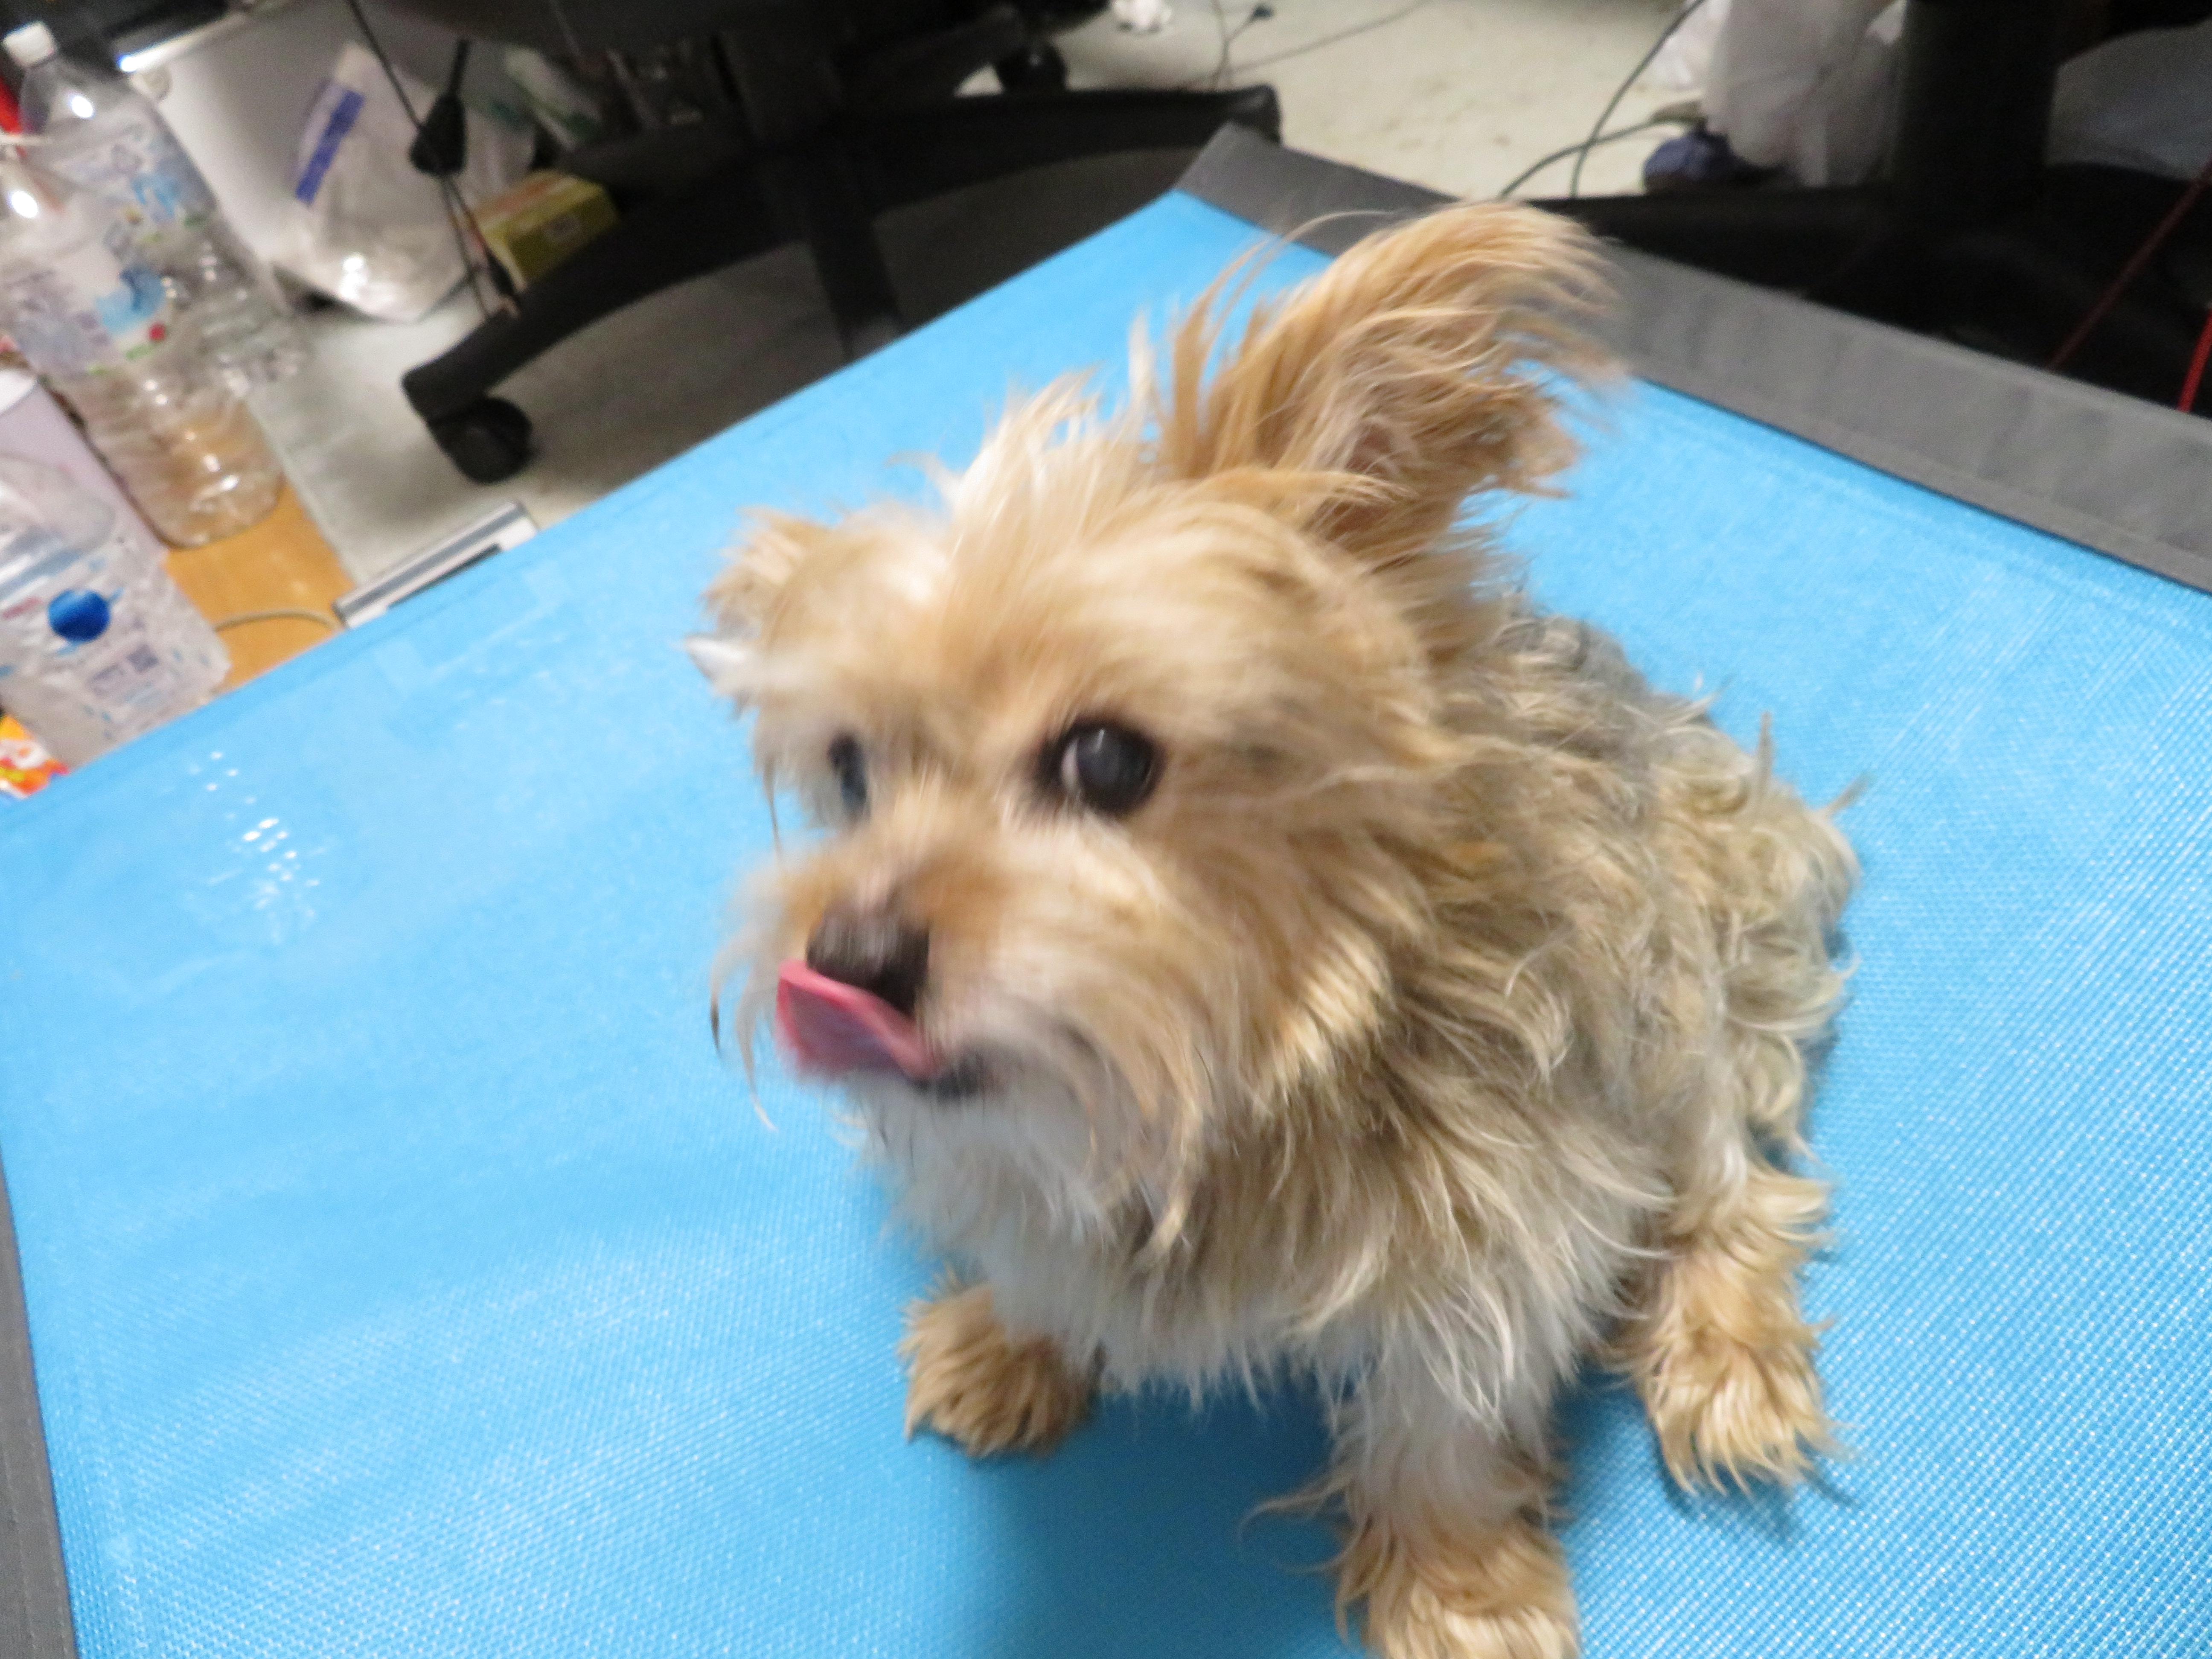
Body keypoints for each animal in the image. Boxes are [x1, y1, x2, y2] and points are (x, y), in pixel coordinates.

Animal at [688, 201, 1855, 1659]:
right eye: (848, 771)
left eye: (1105, 760)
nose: (841, 966)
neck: (1229, 1081)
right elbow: (1031, 1262)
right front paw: (1014, 1341)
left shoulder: (1501, 1225)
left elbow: (1443, 1419)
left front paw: (1457, 1589)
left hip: (1684, 972)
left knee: (1728, 1183)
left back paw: (1723, 1351)